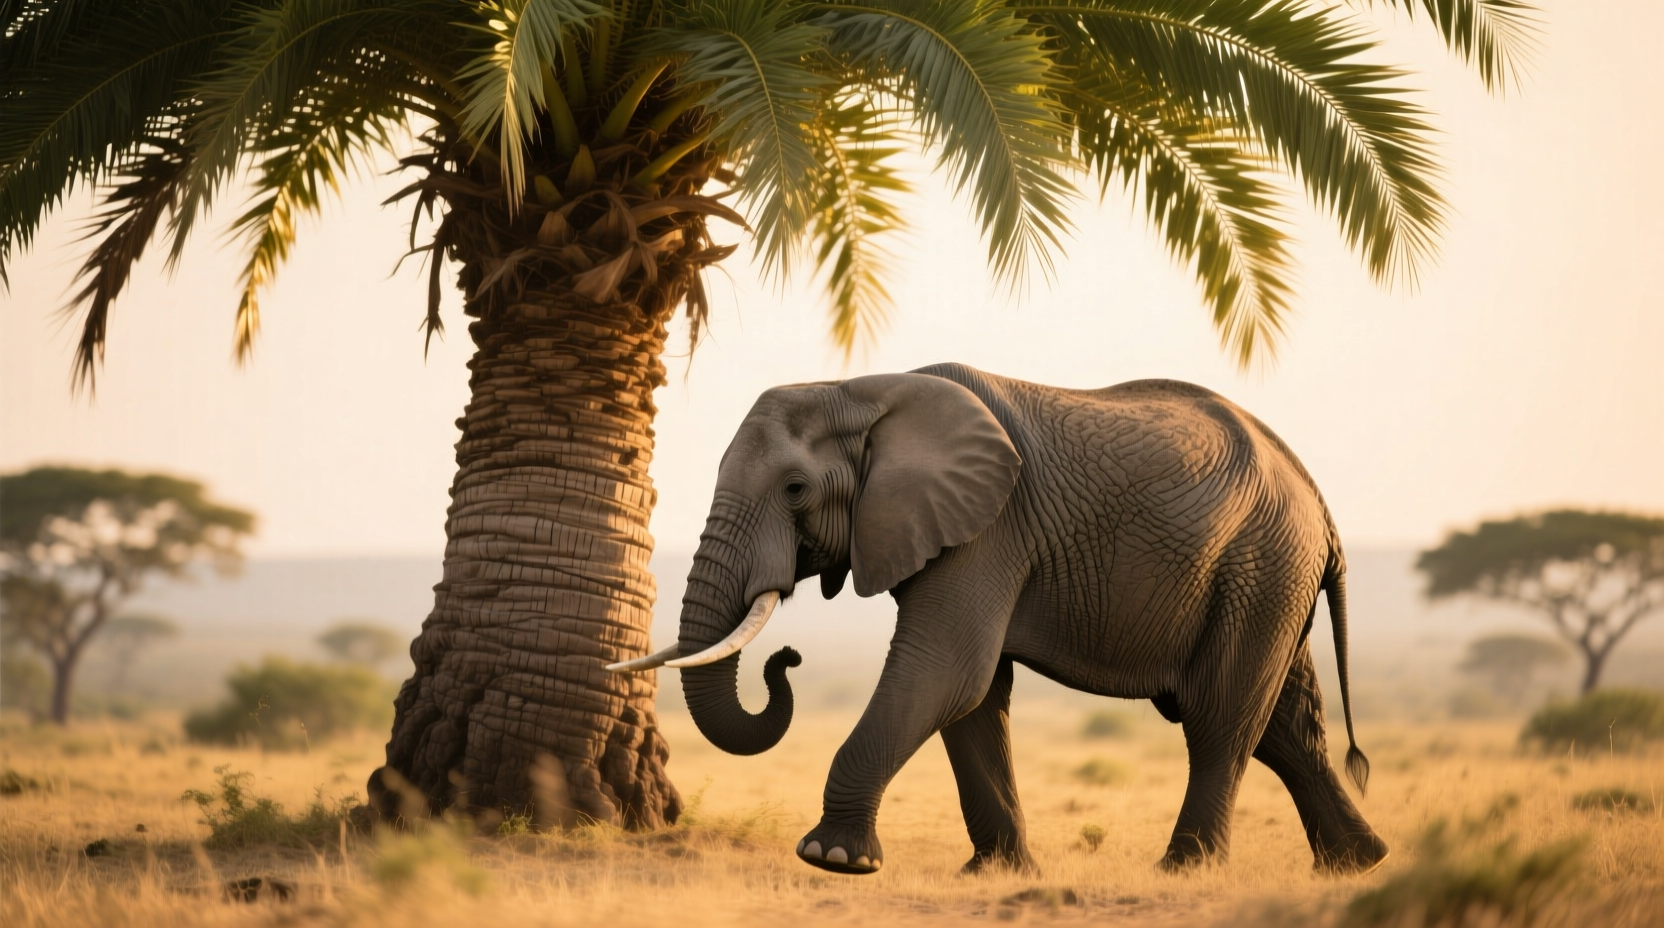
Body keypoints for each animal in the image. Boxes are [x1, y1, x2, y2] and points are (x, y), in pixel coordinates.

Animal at [609, 362, 1388, 877]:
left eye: (796, 489)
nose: (787, 658)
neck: (864, 387)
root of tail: (1320, 503)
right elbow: (973, 694)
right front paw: (998, 875)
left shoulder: (989, 528)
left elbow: (944, 671)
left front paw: (830, 858)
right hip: (1269, 574)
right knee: (1286, 726)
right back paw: (1358, 865)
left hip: (1261, 564)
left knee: (1220, 716)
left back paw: (1186, 871)